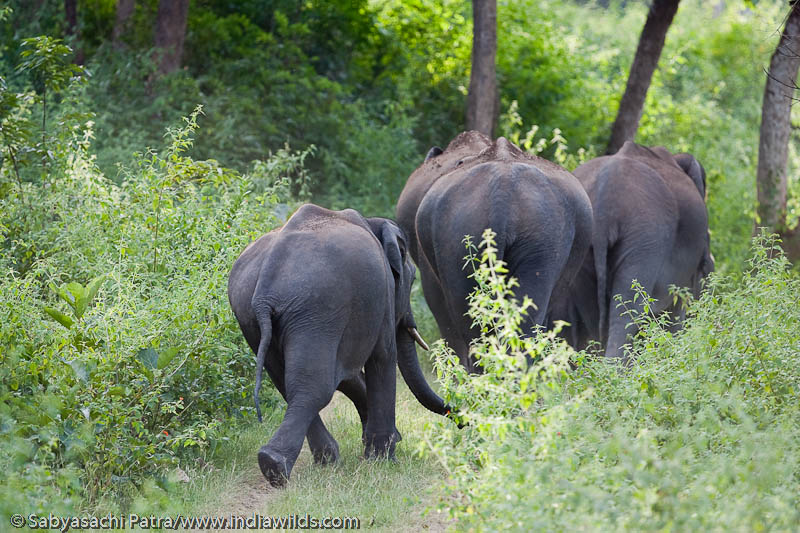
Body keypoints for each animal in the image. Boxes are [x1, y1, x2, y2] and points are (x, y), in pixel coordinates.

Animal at [227, 203, 452, 487]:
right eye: (412, 279)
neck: (372, 222)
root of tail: (265, 291)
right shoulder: (381, 298)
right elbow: (382, 356)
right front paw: (383, 460)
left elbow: (347, 373)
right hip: (318, 308)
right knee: (314, 386)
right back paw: (277, 465)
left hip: (253, 315)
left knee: (287, 380)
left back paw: (318, 460)